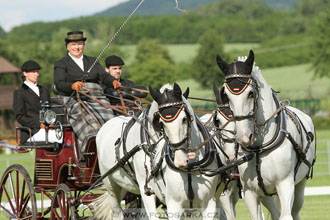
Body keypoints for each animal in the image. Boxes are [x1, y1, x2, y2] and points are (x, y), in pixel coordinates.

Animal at [94, 83, 223, 219]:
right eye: (160, 123)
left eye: (184, 119)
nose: (180, 160)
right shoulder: (147, 186)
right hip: (111, 184)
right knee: (117, 211)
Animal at [215, 49, 316, 220]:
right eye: (226, 95)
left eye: (250, 94)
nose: (243, 137)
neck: (259, 147)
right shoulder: (250, 191)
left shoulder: (285, 184)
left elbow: (286, 215)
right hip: (265, 193)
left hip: (299, 184)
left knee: (295, 210)